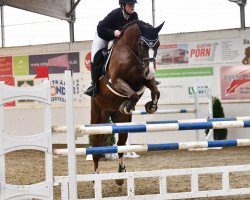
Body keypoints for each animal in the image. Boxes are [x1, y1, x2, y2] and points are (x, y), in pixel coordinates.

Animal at [90, 19, 164, 185]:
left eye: (157, 45)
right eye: (142, 45)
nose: (151, 72)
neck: (131, 53)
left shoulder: (143, 80)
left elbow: (155, 91)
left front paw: (151, 106)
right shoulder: (116, 81)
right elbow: (133, 95)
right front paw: (127, 105)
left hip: (121, 120)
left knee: (120, 145)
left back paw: (120, 176)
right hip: (98, 116)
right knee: (96, 147)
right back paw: (95, 176)